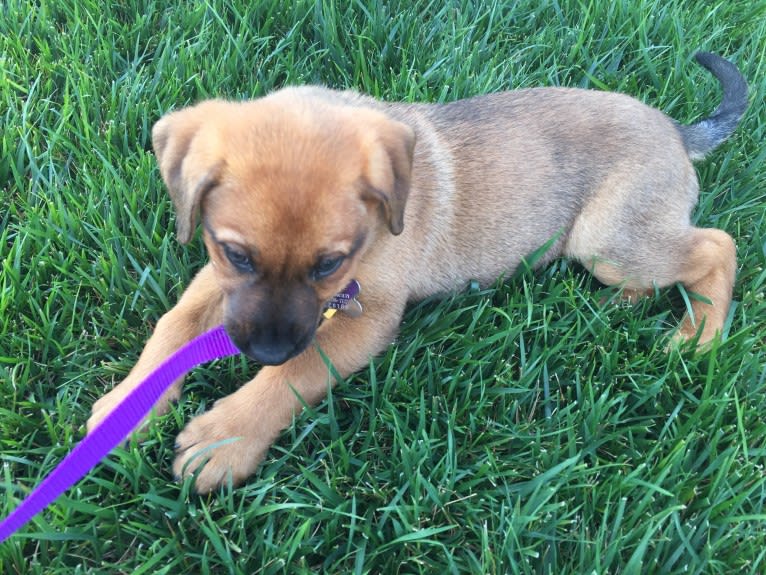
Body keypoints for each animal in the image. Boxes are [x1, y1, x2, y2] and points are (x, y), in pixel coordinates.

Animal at [85, 54, 752, 492]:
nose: (263, 351)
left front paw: (226, 438)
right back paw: (623, 308)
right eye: (236, 254)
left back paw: (698, 337)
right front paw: (127, 407)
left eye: (330, 264)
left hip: (608, 238)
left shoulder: (366, 318)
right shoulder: (219, 283)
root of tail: (675, 131)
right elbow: (174, 326)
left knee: (718, 245)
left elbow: (298, 372)